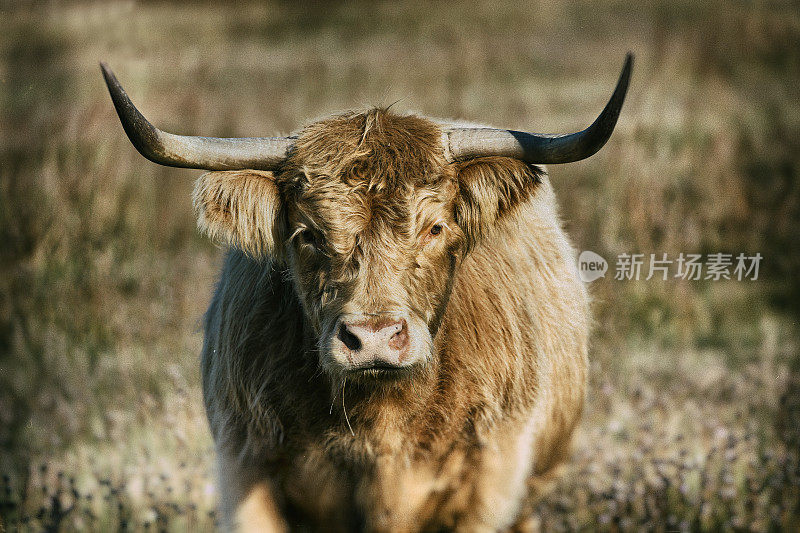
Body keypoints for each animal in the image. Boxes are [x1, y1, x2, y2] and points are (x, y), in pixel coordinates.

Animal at [101, 55, 632, 532]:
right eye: (308, 234)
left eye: (435, 228)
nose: (374, 338)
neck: (380, 425)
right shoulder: (246, 468)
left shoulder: (487, 488)